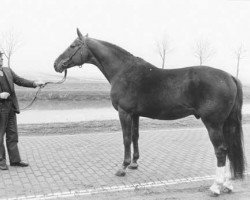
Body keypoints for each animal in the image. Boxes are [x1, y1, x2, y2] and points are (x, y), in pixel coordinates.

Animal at [53, 28, 245, 196]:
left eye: (73, 45)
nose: (56, 64)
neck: (123, 71)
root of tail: (229, 76)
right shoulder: (135, 114)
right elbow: (135, 136)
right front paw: (134, 164)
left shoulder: (124, 112)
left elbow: (126, 139)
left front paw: (123, 167)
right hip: (225, 124)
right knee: (229, 149)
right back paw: (228, 185)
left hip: (213, 124)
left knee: (221, 150)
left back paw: (216, 187)